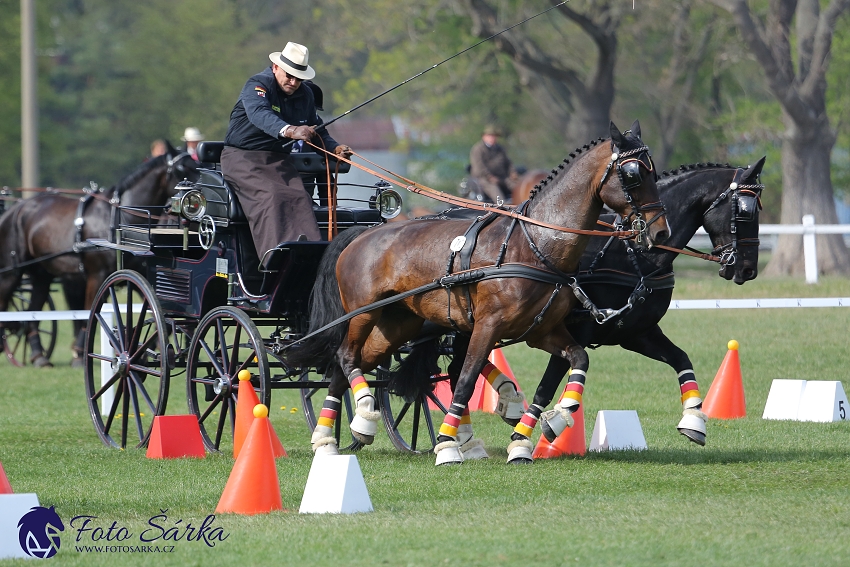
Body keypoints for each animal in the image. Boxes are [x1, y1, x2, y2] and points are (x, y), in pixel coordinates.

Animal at [0, 145, 198, 368]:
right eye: (183, 168)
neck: (118, 218)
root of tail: (16, 208)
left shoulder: (137, 274)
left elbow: (153, 312)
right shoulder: (97, 275)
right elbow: (89, 313)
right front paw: (79, 354)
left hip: (42, 275)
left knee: (33, 311)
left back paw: (39, 356)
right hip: (12, 272)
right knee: (4, 301)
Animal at [284, 121, 668, 466]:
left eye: (653, 171)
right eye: (633, 174)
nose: (659, 232)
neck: (534, 246)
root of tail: (360, 235)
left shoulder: (543, 332)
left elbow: (578, 361)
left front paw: (553, 421)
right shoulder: (487, 325)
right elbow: (466, 380)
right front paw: (446, 446)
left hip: (397, 324)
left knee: (347, 364)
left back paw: (335, 437)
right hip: (364, 313)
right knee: (346, 356)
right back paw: (361, 410)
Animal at [438, 158, 768, 460]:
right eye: (745, 210)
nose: (748, 269)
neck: (633, 255)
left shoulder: (635, 333)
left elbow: (681, 359)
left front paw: (694, 420)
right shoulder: (574, 332)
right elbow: (548, 386)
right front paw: (537, 431)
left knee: (460, 368)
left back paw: (472, 433)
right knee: (463, 368)